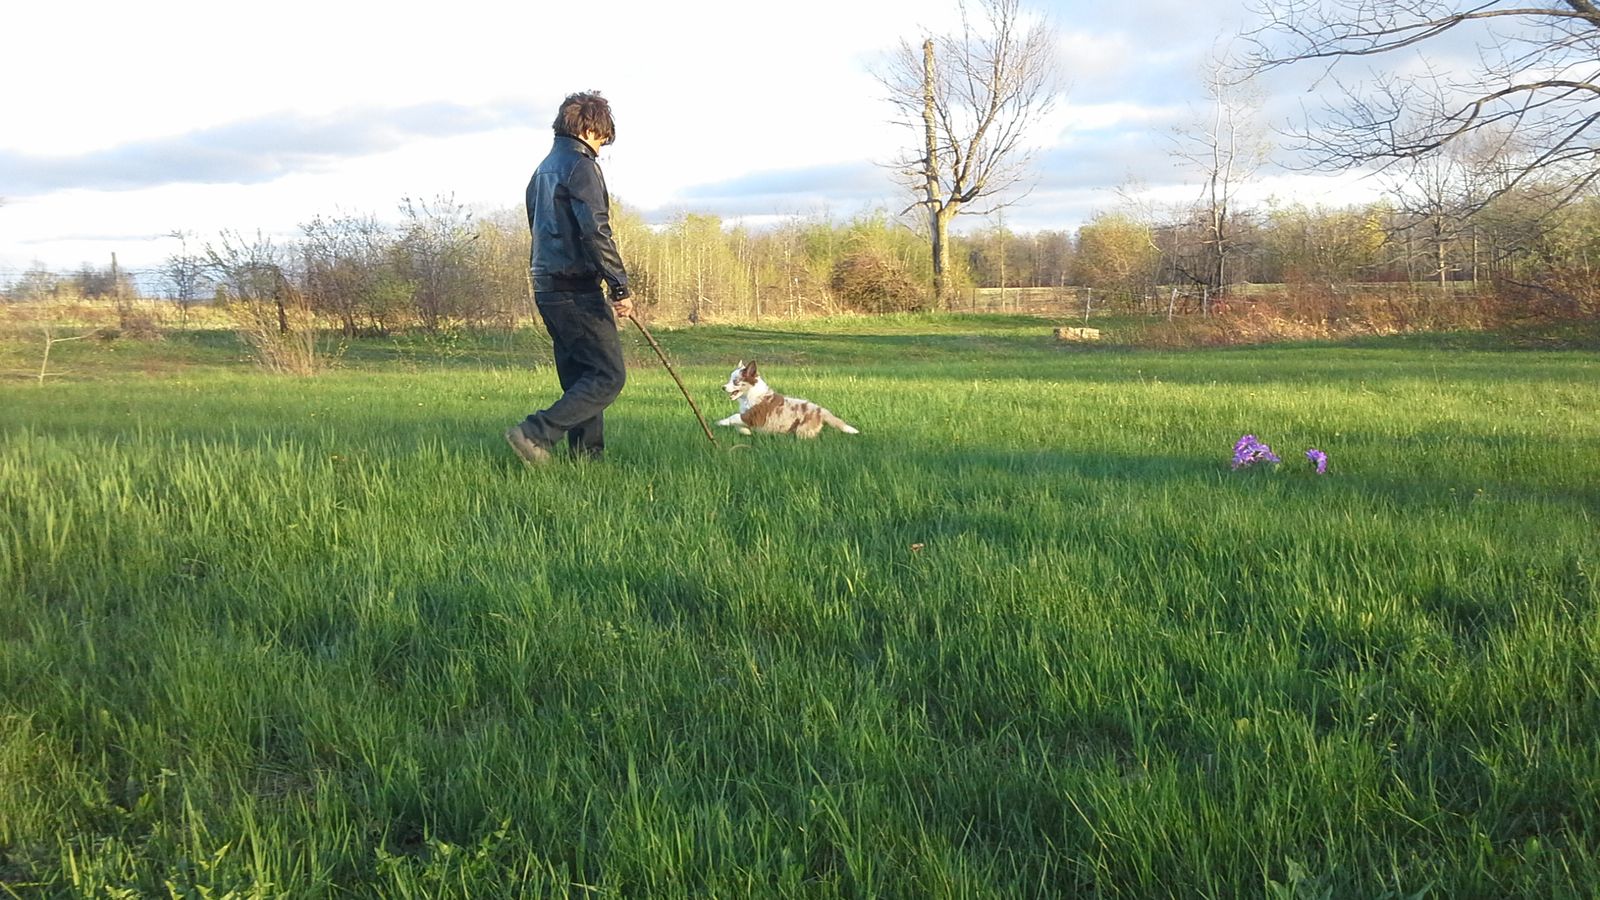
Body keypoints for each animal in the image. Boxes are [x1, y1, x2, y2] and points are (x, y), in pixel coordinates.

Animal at [717, 361, 859, 438]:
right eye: (729, 380)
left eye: (735, 381)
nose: (723, 387)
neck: (750, 394)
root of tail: (821, 410)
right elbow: (739, 424)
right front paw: (746, 432)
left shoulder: (754, 415)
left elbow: (735, 416)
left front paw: (720, 422)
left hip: (803, 429)